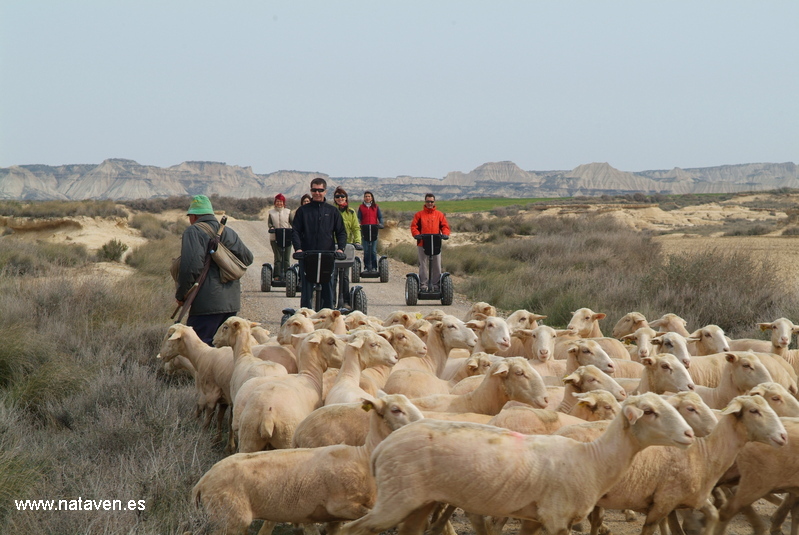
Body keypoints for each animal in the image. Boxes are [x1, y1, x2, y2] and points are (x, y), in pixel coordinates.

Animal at [193, 394, 424, 535]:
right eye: (396, 409)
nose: (422, 423)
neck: (363, 456)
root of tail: (202, 482)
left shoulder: (335, 517)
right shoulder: (341, 506)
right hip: (229, 519)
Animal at [336, 393, 695, 535]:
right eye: (649, 412)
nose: (690, 434)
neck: (593, 461)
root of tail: (380, 449)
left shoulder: (535, 518)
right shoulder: (557, 518)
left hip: (419, 501)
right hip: (395, 499)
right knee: (349, 529)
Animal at [585, 395, 786, 535]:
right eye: (754, 411)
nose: (783, 436)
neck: (705, 452)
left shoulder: (691, 498)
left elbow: (713, 514)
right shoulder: (664, 502)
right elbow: (660, 528)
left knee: (595, 519)